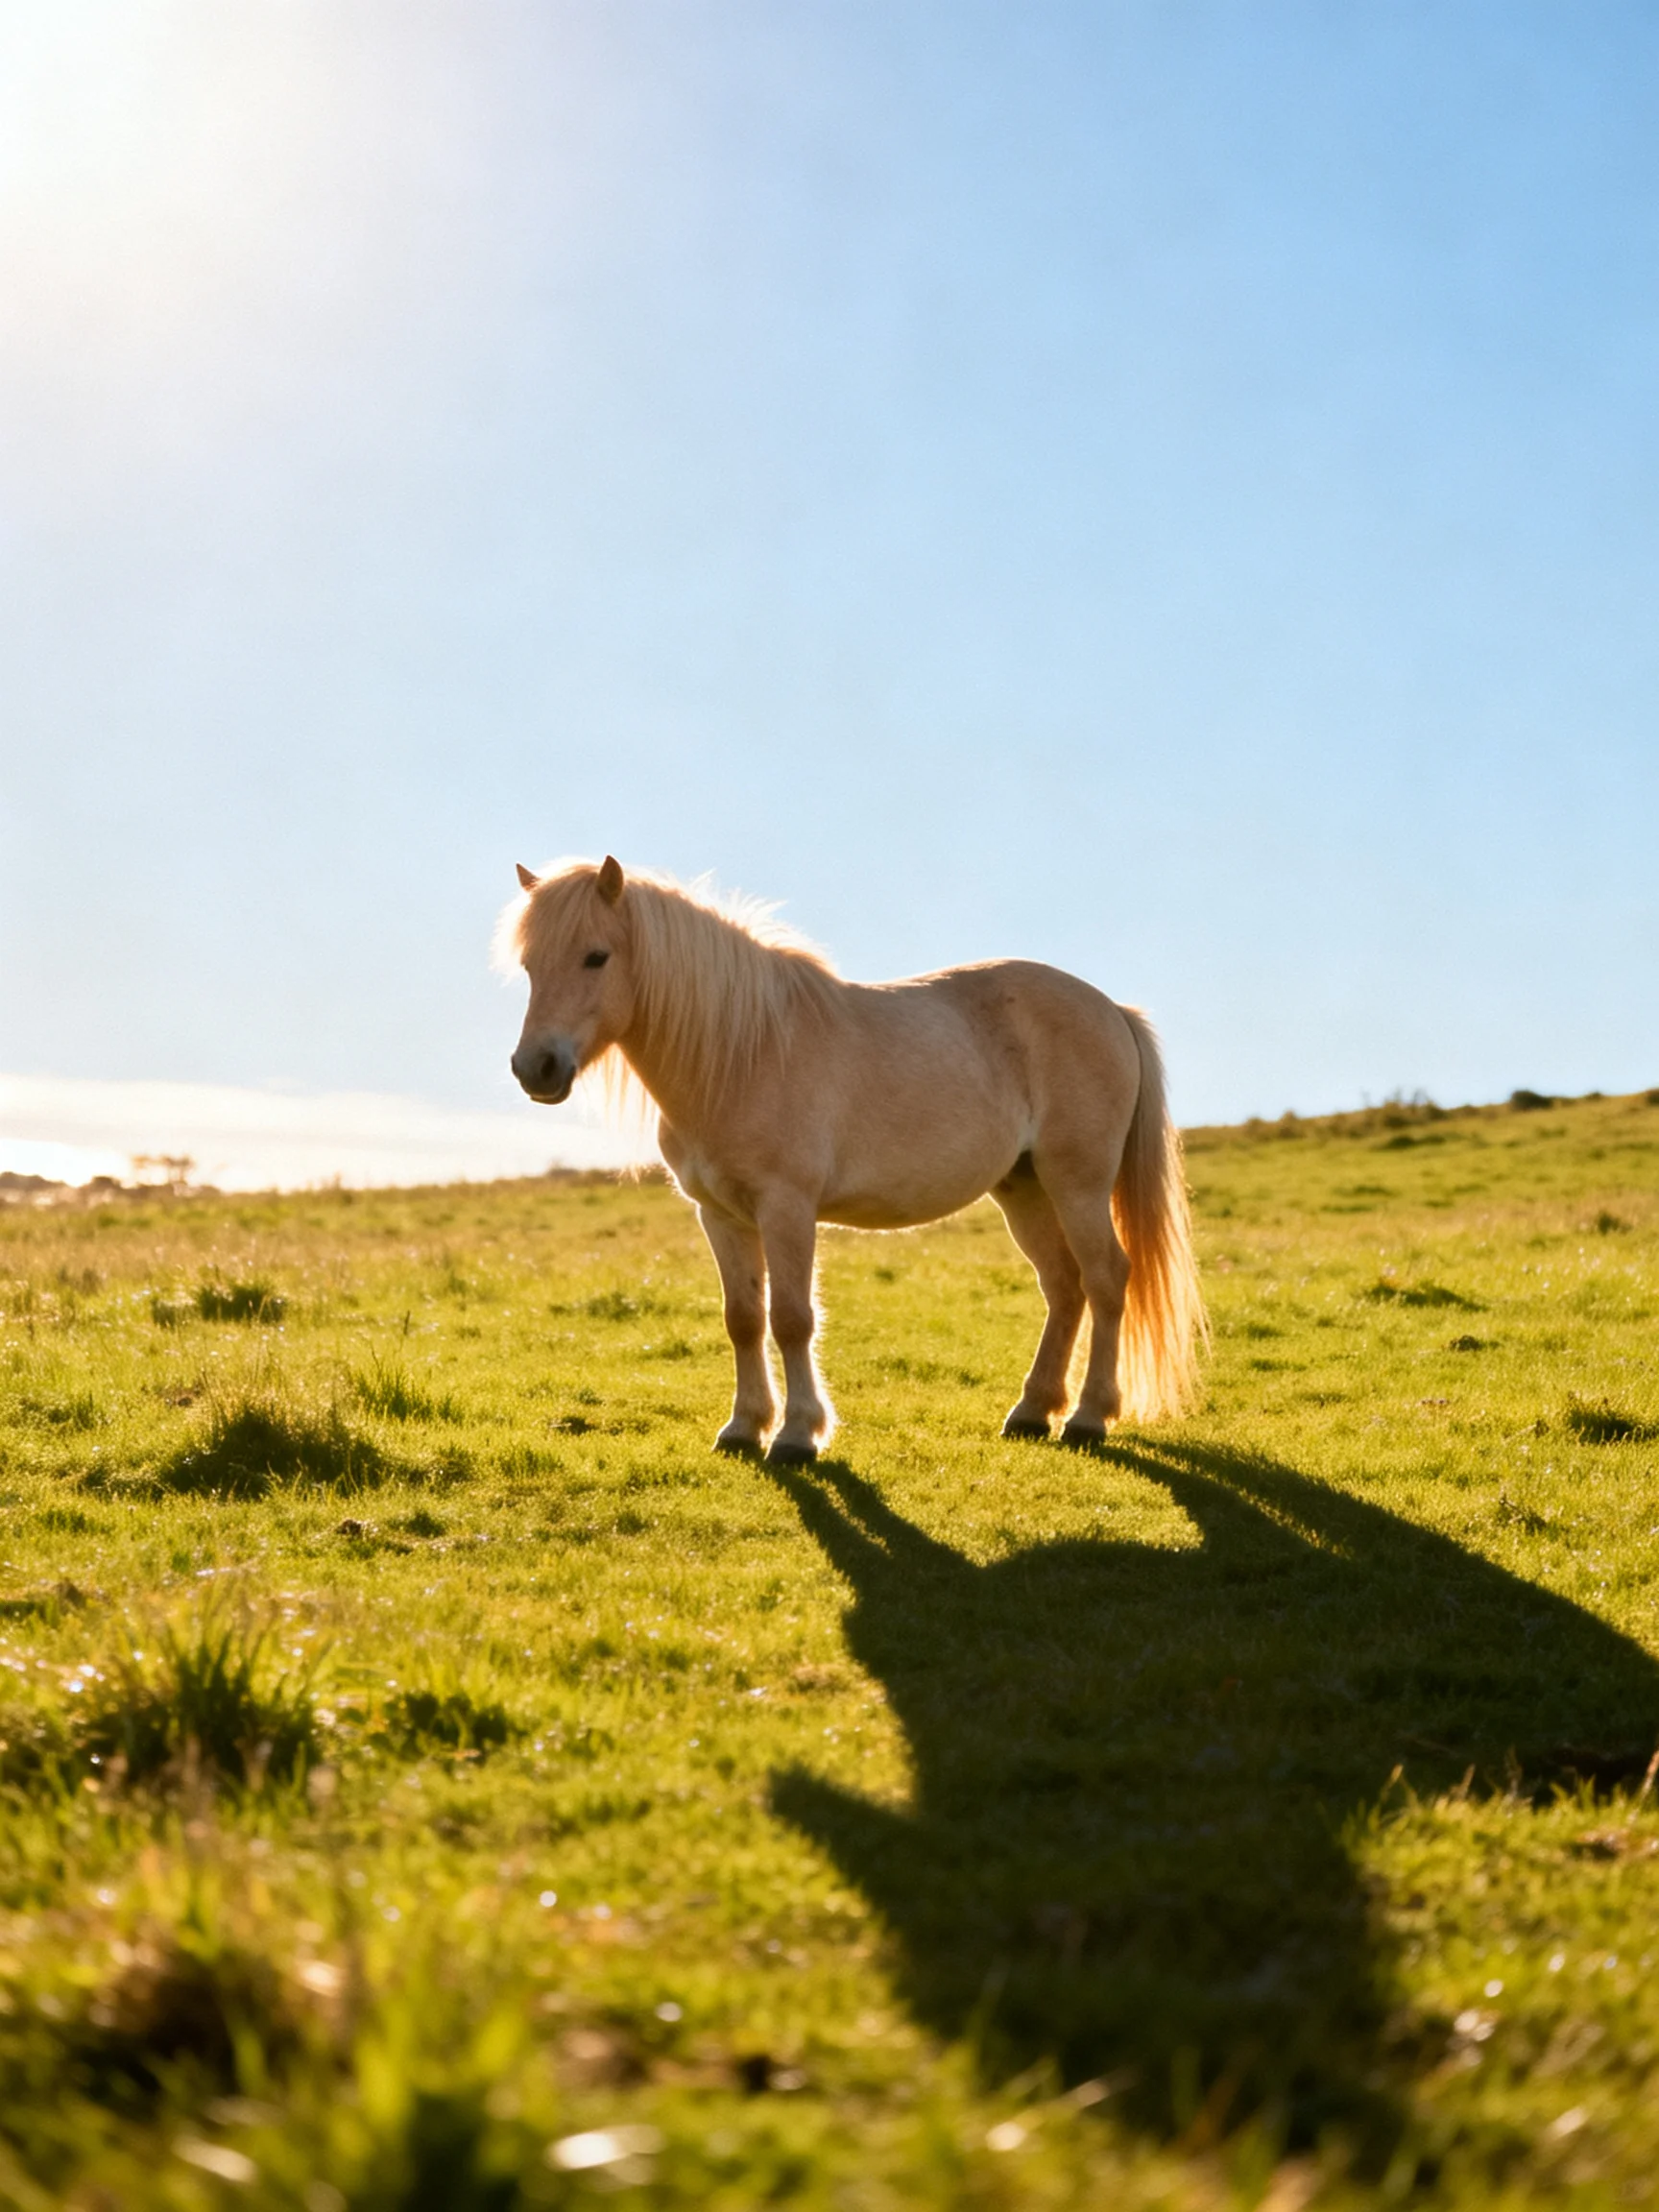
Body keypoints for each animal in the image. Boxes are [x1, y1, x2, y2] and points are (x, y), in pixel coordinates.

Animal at [501, 856, 1206, 1464]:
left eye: (596, 956)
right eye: (529, 965)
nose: (535, 1068)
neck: (742, 1054)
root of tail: (1112, 1009)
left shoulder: (786, 1208)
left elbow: (790, 1319)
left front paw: (796, 1435)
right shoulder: (720, 1215)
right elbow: (743, 1320)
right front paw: (743, 1428)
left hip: (1076, 1183)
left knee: (1107, 1277)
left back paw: (1088, 1418)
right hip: (1023, 1187)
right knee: (1063, 1285)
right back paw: (1031, 1413)